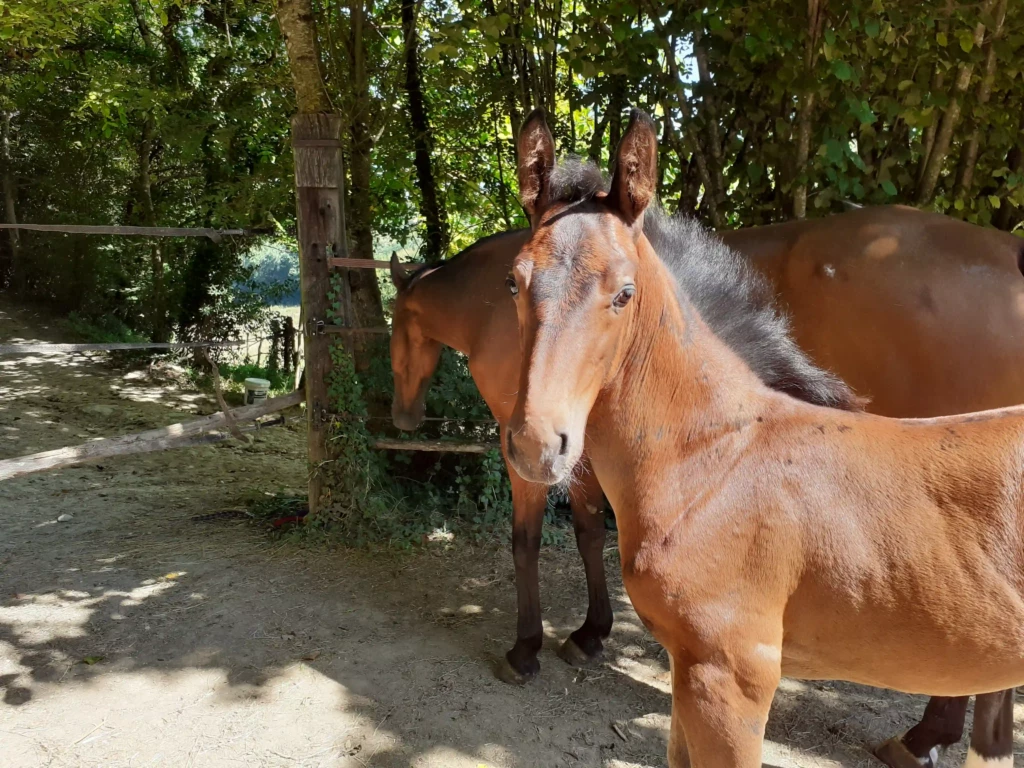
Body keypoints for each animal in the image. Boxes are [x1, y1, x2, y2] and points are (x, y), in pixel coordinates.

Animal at [503, 106, 1024, 768]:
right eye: (514, 283)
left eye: (623, 293)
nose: (537, 446)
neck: (715, 464)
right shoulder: (687, 668)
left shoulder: (733, 680)